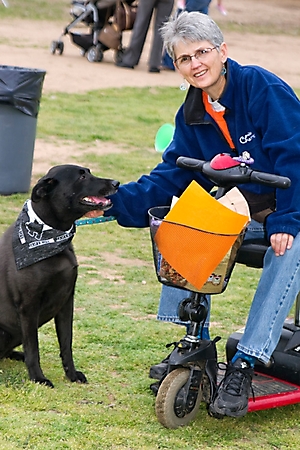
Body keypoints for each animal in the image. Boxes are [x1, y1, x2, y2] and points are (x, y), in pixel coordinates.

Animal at [0, 165, 119, 386]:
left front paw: (72, 375)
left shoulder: (66, 301)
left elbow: (66, 343)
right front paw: (38, 378)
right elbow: (34, 348)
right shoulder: (28, 306)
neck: (53, 235)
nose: (116, 183)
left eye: (88, 171)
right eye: (81, 176)